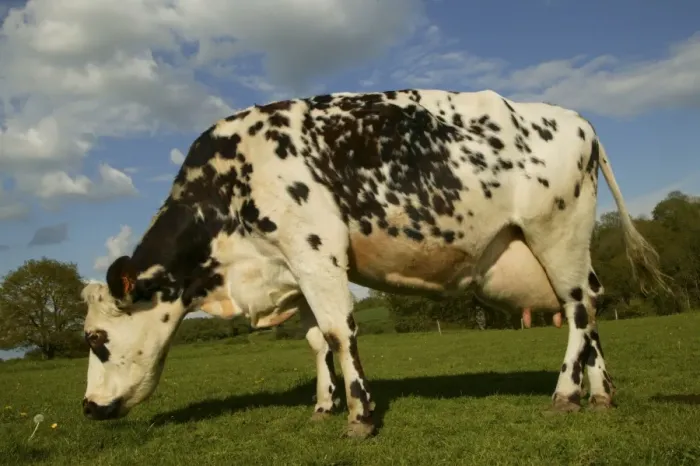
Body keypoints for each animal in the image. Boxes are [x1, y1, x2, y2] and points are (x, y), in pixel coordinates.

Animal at [80, 88, 667, 439]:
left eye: (96, 338)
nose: (87, 407)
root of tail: (576, 119)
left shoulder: (314, 248)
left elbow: (340, 332)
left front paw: (359, 416)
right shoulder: (292, 267)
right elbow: (317, 339)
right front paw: (323, 406)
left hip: (557, 232)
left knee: (579, 309)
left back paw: (566, 394)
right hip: (567, 248)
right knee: (591, 306)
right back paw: (601, 394)